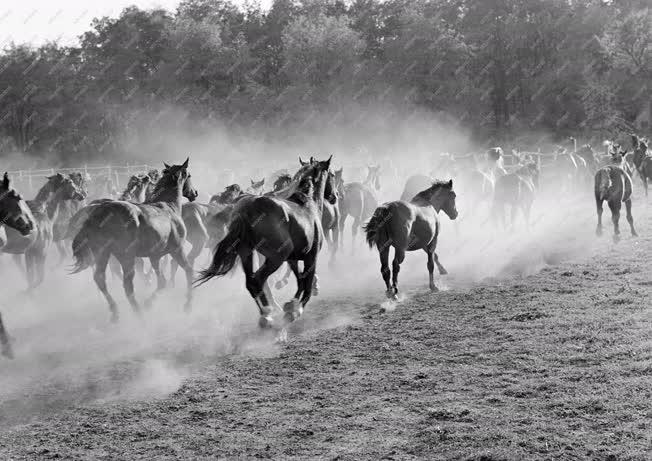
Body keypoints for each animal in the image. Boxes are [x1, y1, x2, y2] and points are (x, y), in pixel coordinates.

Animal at [72, 158, 199, 320]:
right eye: (189, 175)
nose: (194, 193)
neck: (168, 207)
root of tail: (100, 212)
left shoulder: (155, 256)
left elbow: (161, 282)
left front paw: (150, 302)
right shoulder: (177, 250)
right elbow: (189, 271)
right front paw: (188, 305)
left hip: (103, 254)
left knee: (100, 279)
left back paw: (116, 312)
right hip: (126, 257)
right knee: (127, 285)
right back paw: (138, 314)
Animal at [196, 157, 334, 330]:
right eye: (332, 175)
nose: (335, 196)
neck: (308, 204)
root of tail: (246, 209)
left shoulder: (292, 259)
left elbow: (300, 280)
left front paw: (291, 305)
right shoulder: (311, 256)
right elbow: (306, 285)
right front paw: (295, 310)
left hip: (247, 253)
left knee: (251, 282)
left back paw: (267, 314)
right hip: (276, 257)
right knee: (258, 279)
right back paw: (268, 314)